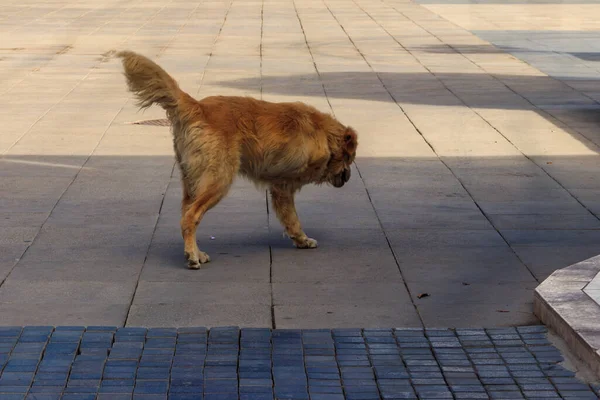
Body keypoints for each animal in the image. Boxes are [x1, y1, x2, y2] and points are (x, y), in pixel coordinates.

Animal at [118, 50, 356, 268]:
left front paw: (300, 240)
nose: (349, 177)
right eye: (350, 159)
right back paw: (193, 256)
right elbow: (293, 218)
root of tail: (198, 107)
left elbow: (290, 218)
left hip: (193, 182)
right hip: (218, 180)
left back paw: (194, 251)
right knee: (191, 217)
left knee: (185, 214)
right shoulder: (283, 186)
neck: (323, 133)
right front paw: (302, 239)